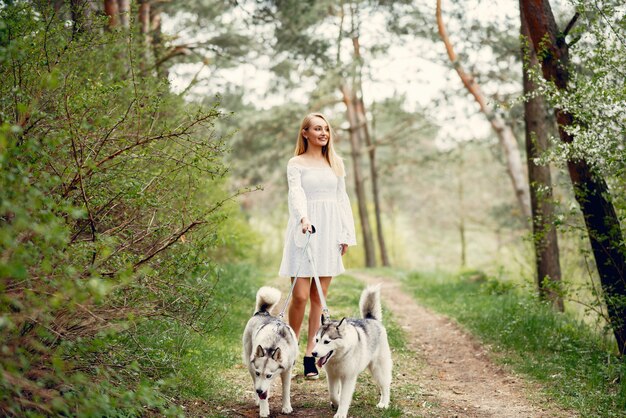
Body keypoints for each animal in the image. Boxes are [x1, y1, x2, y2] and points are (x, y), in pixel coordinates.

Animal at [241, 288, 298, 418]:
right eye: (258, 373)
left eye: (269, 375)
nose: (259, 391)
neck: (273, 344)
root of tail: (262, 312)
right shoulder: (257, 374)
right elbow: (262, 392)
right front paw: (263, 410)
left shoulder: (287, 370)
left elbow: (286, 390)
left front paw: (286, 407)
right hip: (249, 364)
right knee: (255, 382)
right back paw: (258, 399)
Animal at [312, 284, 390, 418]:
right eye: (317, 340)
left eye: (326, 342)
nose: (314, 353)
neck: (338, 357)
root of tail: (371, 319)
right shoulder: (332, 376)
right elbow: (333, 394)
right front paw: (336, 402)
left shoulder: (348, 377)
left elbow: (344, 397)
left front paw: (341, 413)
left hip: (378, 369)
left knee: (385, 385)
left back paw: (384, 403)